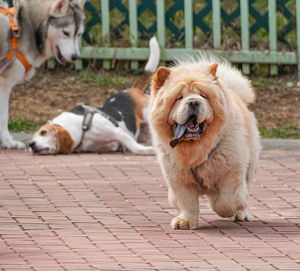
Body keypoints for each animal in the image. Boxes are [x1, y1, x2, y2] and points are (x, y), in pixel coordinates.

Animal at [0, 0, 86, 149]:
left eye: (79, 34)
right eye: (66, 33)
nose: (76, 57)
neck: (24, 28)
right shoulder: (4, 84)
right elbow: (4, 117)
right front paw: (8, 142)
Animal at [149, 56, 260, 230]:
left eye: (203, 95)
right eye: (179, 98)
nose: (194, 102)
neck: (196, 149)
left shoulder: (230, 174)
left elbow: (226, 201)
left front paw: (223, 207)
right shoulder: (179, 179)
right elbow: (187, 203)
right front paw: (185, 221)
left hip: (249, 166)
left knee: (244, 192)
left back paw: (241, 214)